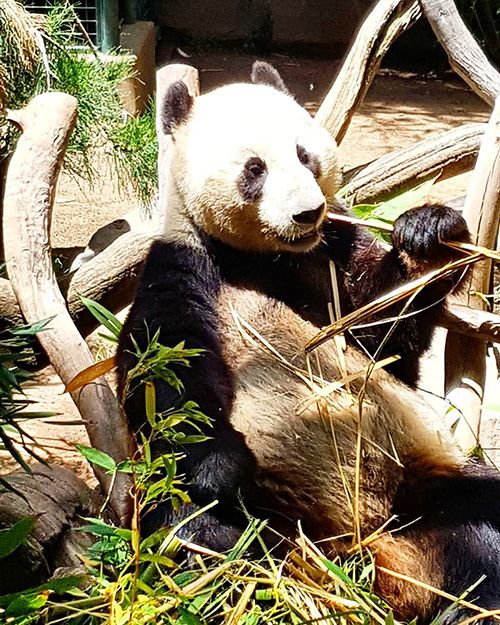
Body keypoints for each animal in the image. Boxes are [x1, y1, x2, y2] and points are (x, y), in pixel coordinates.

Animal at [115, 62, 500, 620]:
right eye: (254, 168)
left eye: (304, 154)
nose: (308, 213)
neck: (263, 259)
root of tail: (370, 550)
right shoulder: (184, 268)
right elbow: (165, 375)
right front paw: (217, 466)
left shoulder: (331, 257)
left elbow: (385, 337)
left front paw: (427, 234)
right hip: (275, 520)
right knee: (202, 537)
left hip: (423, 486)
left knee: (481, 520)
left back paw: (470, 603)